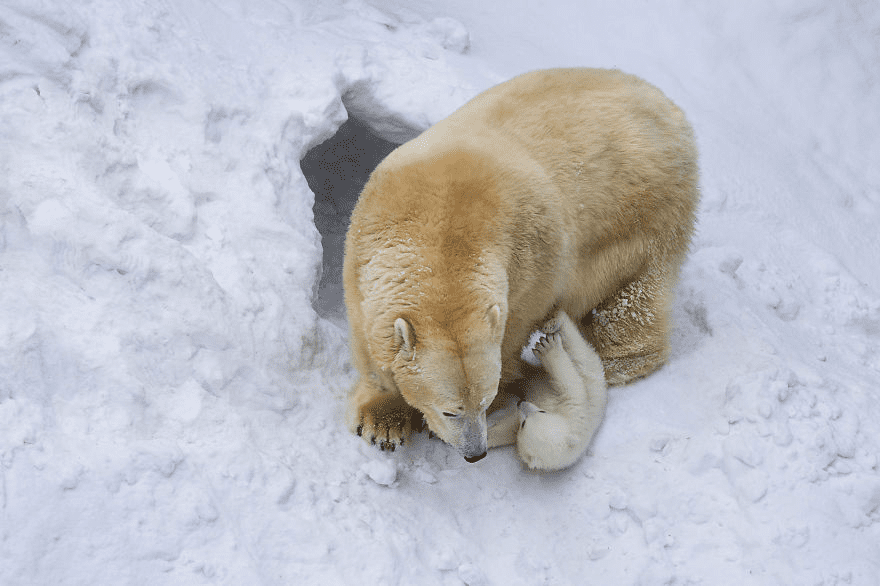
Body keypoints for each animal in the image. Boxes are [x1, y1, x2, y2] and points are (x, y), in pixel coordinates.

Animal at [340, 67, 696, 466]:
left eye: (484, 402)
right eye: (451, 410)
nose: (474, 454)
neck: (442, 232)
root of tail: (671, 110)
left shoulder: (530, 271)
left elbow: (511, 338)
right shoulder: (365, 251)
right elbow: (371, 339)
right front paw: (383, 423)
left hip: (643, 215)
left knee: (631, 299)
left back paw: (613, 361)